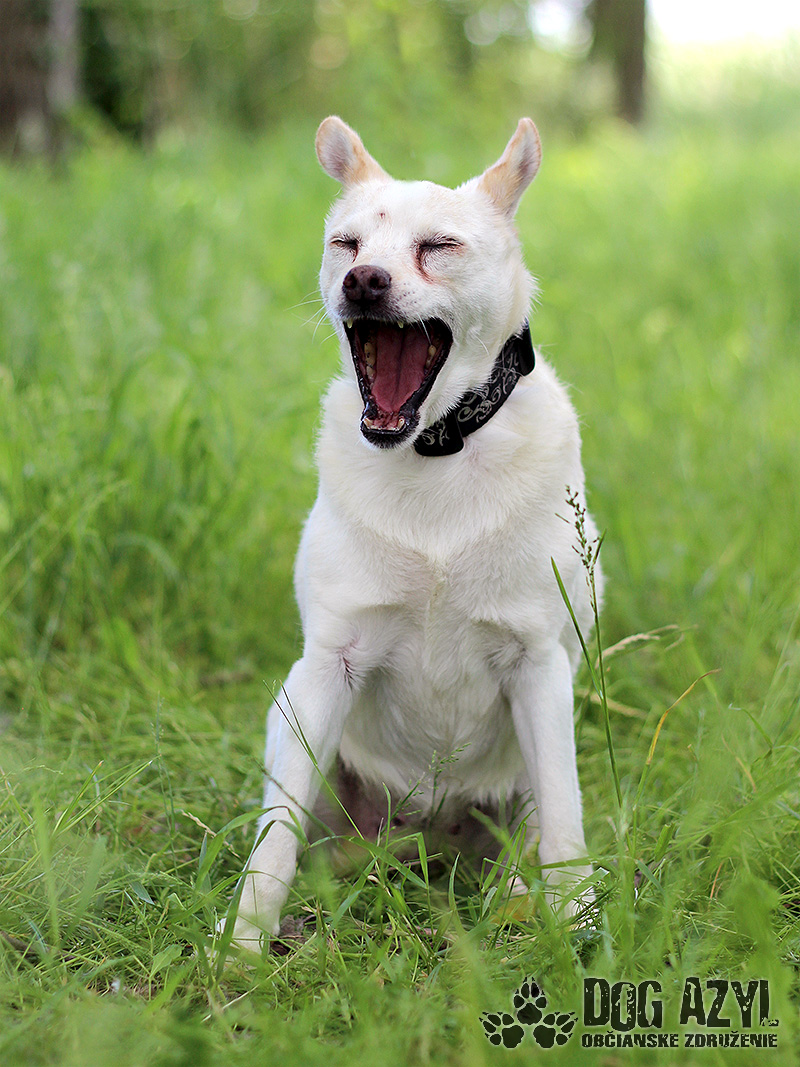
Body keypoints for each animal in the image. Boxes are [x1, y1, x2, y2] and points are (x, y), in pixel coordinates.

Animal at [226, 116, 601, 950]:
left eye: (438, 245)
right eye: (347, 244)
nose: (364, 282)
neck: (435, 449)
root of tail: (426, 842)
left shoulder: (539, 666)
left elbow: (565, 822)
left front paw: (580, 927)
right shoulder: (327, 667)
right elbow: (273, 839)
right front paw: (238, 947)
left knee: (532, 835)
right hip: (290, 715)